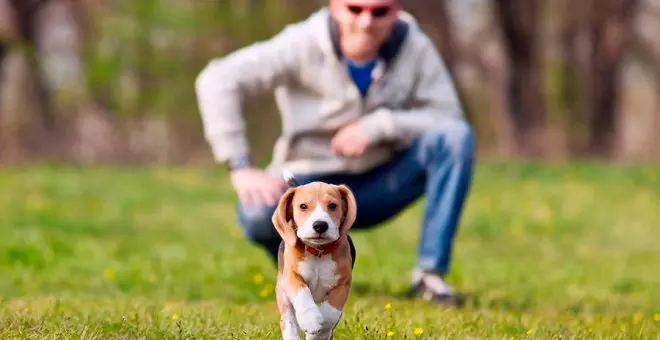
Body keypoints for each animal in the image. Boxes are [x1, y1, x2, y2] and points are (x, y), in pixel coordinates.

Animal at [272, 171, 358, 338]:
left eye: (332, 206)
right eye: (303, 206)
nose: (320, 225)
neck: (319, 251)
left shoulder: (343, 284)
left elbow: (330, 312)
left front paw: (318, 332)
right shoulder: (291, 276)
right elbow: (303, 294)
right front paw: (310, 320)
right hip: (282, 293)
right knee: (288, 319)